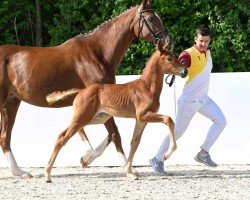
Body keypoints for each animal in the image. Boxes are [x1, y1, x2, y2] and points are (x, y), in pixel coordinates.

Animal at [0, 0, 172, 178]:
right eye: (151, 18)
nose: (168, 41)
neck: (97, 53)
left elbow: (101, 133)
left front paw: (86, 159)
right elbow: (114, 134)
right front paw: (126, 169)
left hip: (11, 102)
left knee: (5, 137)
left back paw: (20, 172)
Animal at [45, 42, 188, 183]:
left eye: (175, 56)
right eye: (169, 58)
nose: (184, 71)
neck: (146, 88)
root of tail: (81, 91)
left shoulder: (141, 120)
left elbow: (134, 142)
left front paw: (130, 172)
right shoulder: (144, 115)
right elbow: (168, 119)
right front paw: (166, 155)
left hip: (95, 118)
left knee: (64, 133)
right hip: (82, 118)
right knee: (63, 138)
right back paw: (47, 175)